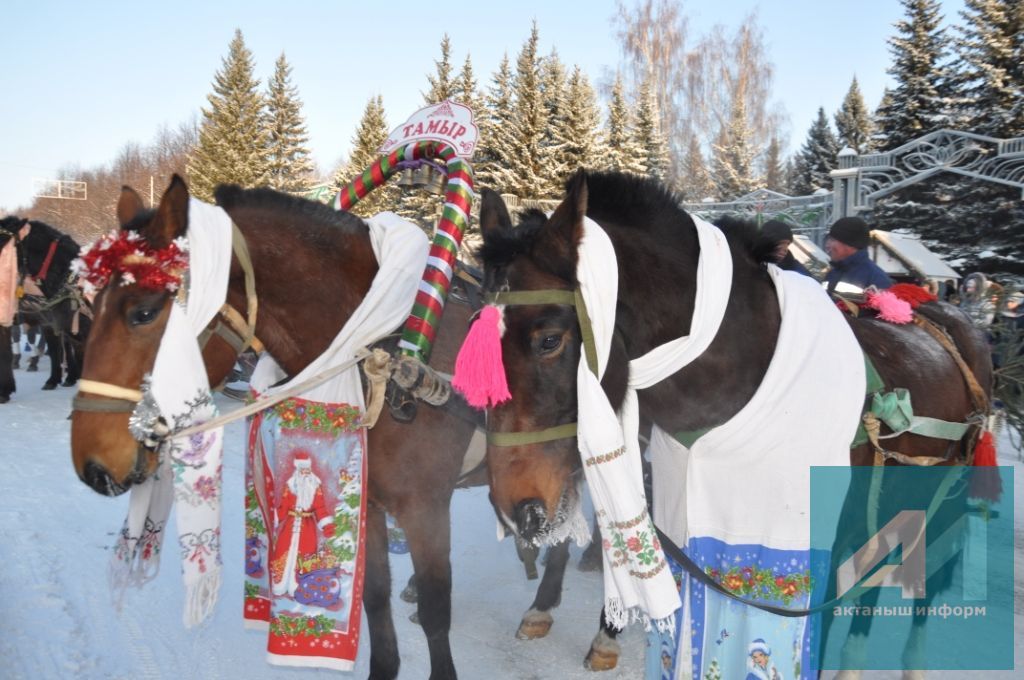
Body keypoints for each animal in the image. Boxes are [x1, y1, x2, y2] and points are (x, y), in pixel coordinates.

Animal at [68, 176, 585, 680]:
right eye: (92, 303)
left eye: (143, 312)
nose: (92, 465)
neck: (382, 358)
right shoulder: (371, 503)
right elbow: (374, 599)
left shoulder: (425, 509)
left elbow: (438, 611)